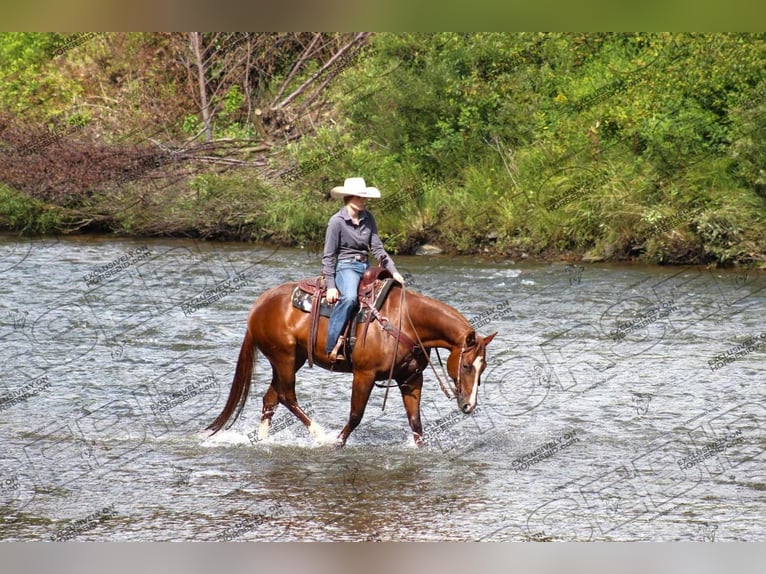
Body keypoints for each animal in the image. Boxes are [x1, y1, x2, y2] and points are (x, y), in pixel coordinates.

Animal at [207, 276, 500, 448]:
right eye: (466, 366)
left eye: (483, 367)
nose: (469, 406)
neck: (405, 321)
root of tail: (259, 304)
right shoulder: (364, 374)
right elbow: (356, 415)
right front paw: (337, 441)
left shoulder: (410, 379)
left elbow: (416, 423)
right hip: (284, 357)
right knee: (287, 396)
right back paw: (320, 435)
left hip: (293, 358)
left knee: (271, 398)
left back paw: (263, 440)